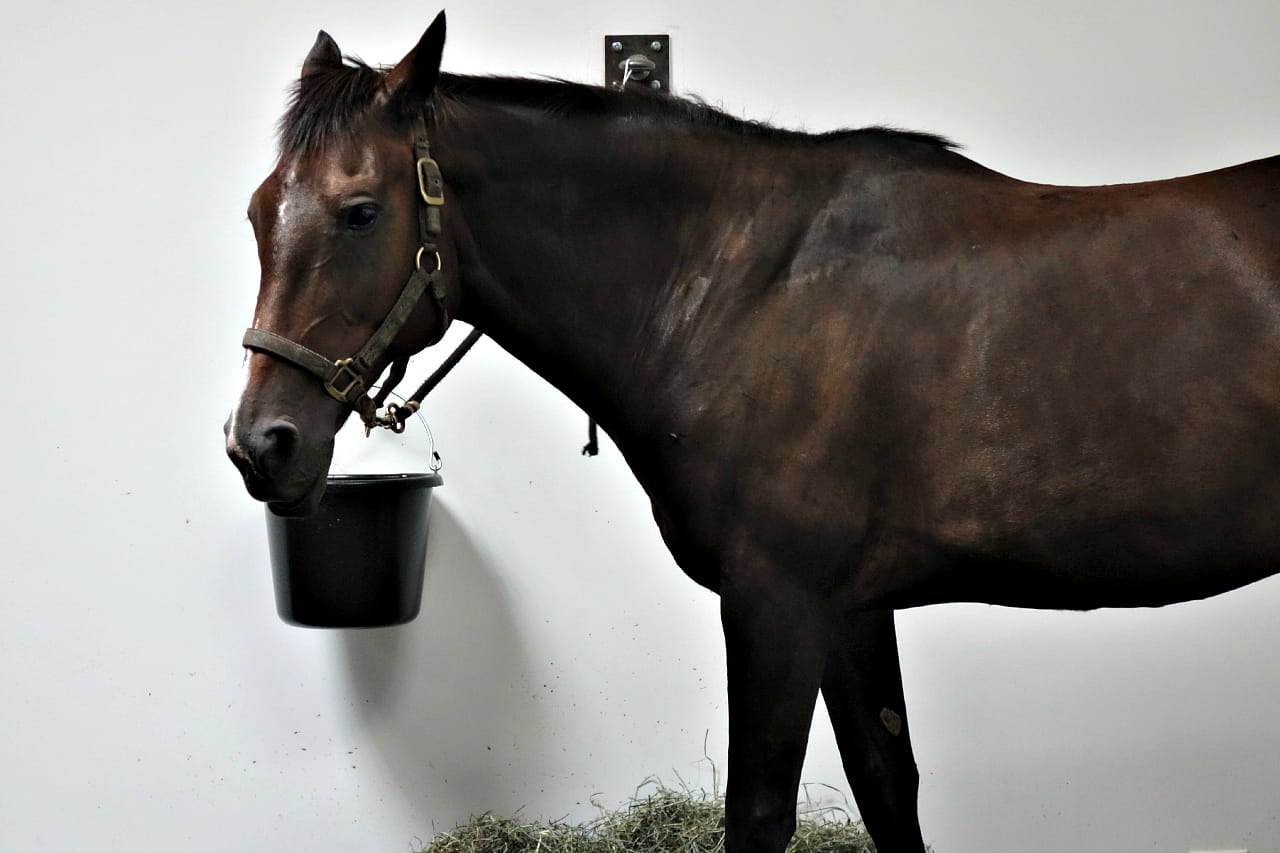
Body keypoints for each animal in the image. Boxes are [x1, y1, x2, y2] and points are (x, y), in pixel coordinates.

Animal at [224, 13, 1280, 852]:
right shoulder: (850, 610)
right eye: (258, 209)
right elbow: (888, 789)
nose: (262, 444)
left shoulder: (778, 604)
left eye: (361, 212)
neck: (743, 287)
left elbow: (760, 813)